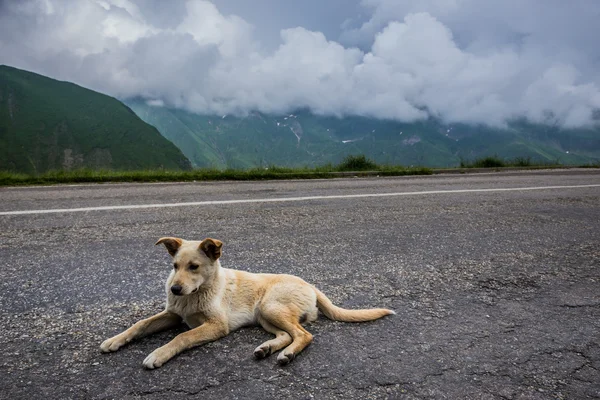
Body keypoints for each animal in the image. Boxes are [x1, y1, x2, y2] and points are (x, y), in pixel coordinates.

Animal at [101, 238, 396, 368]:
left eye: (194, 266)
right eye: (175, 266)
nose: (174, 289)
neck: (197, 293)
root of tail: (310, 285)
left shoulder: (216, 325)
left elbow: (182, 337)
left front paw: (158, 354)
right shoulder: (172, 314)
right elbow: (140, 324)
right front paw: (115, 340)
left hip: (270, 306)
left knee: (303, 335)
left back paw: (287, 354)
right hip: (265, 315)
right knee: (286, 335)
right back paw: (267, 349)